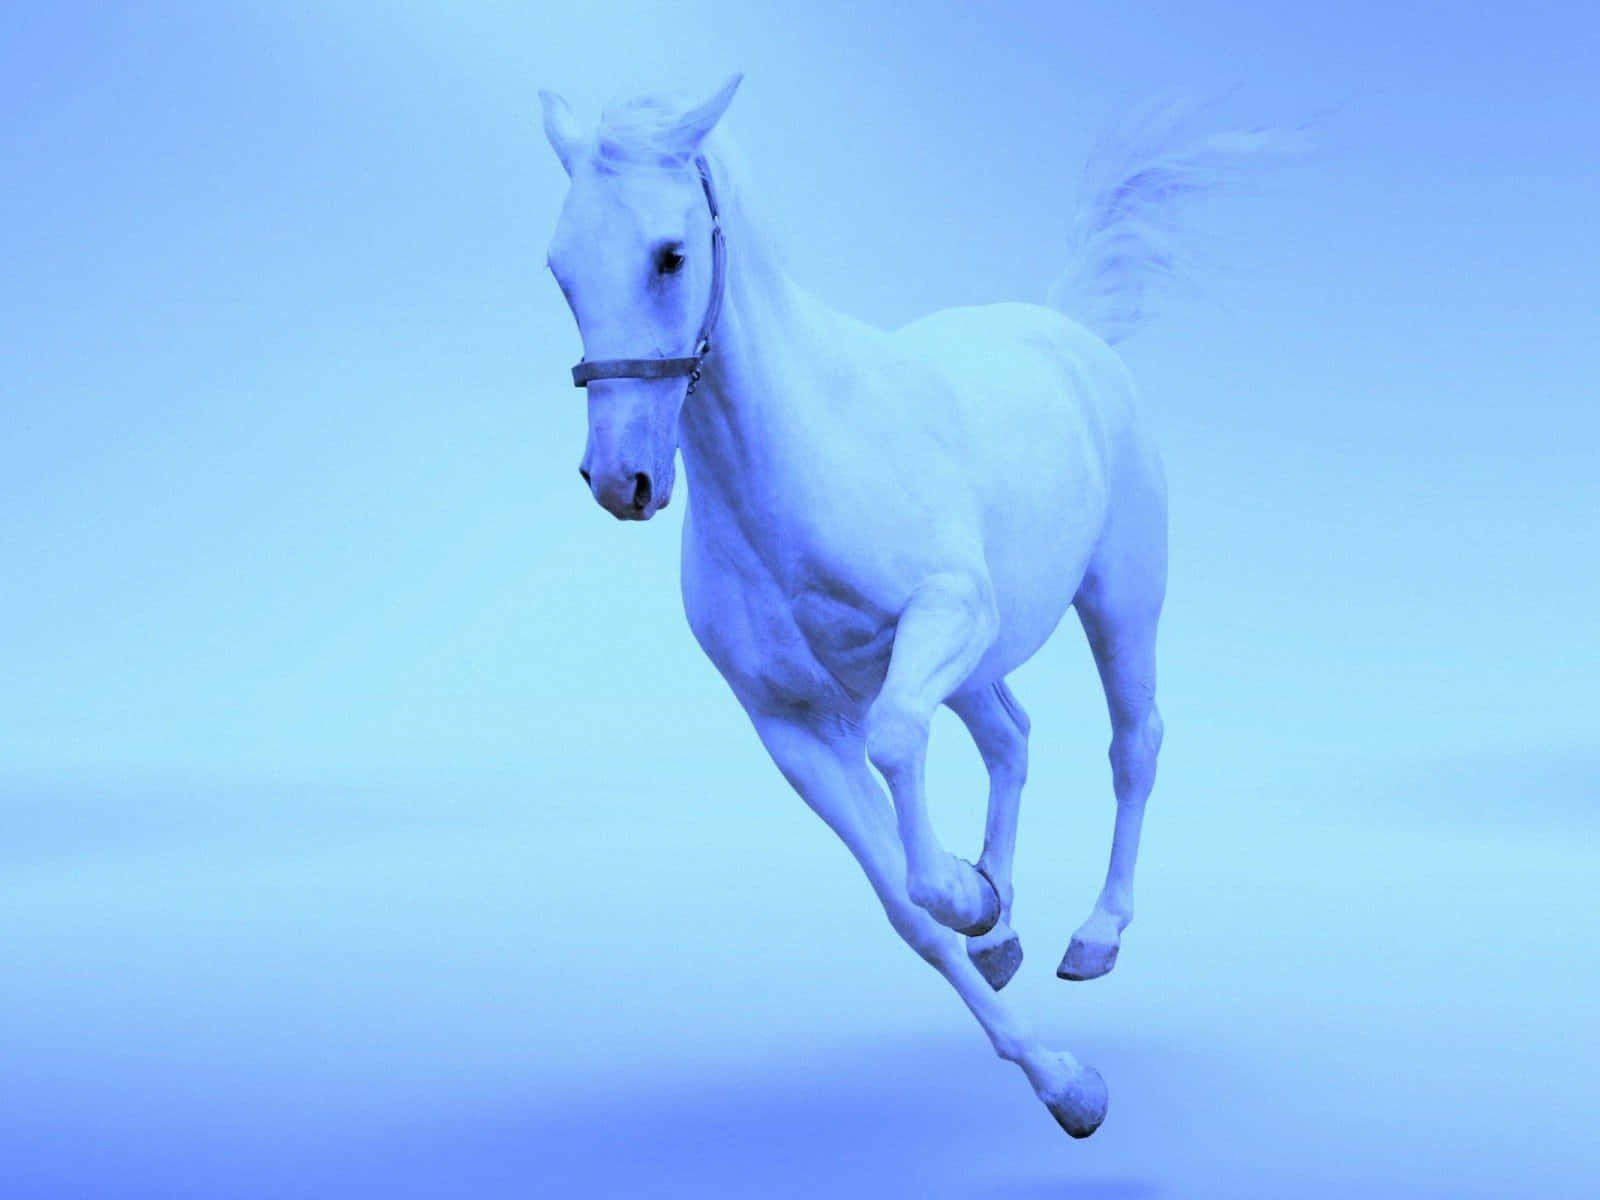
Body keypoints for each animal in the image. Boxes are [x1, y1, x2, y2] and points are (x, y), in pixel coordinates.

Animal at [537, 74, 1280, 1138]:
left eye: (670, 254)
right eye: (560, 268)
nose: (621, 480)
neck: (798, 465)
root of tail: (1066, 330)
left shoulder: (942, 618)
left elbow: (897, 754)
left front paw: (973, 903)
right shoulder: (790, 724)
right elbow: (903, 909)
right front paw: (1060, 1072)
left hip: (1119, 599)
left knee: (1134, 743)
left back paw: (1093, 936)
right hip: (982, 663)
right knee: (1010, 735)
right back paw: (1005, 930)